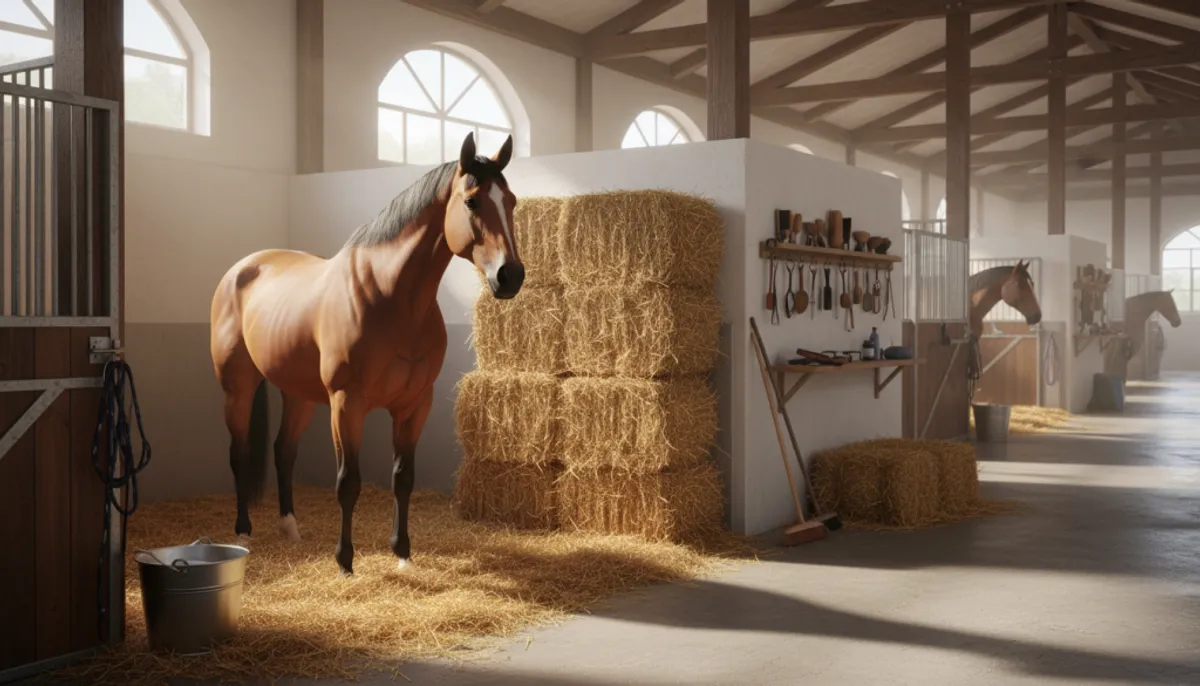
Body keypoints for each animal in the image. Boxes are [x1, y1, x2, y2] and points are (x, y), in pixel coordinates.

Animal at [210, 133, 522, 575]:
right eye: (472, 202)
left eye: (510, 201)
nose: (510, 276)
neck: (391, 298)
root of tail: (243, 268)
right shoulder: (347, 403)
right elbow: (348, 482)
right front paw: (345, 561)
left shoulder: (414, 404)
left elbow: (403, 477)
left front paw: (403, 553)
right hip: (238, 387)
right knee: (239, 453)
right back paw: (243, 533)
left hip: (298, 394)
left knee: (283, 452)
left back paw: (290, 528)